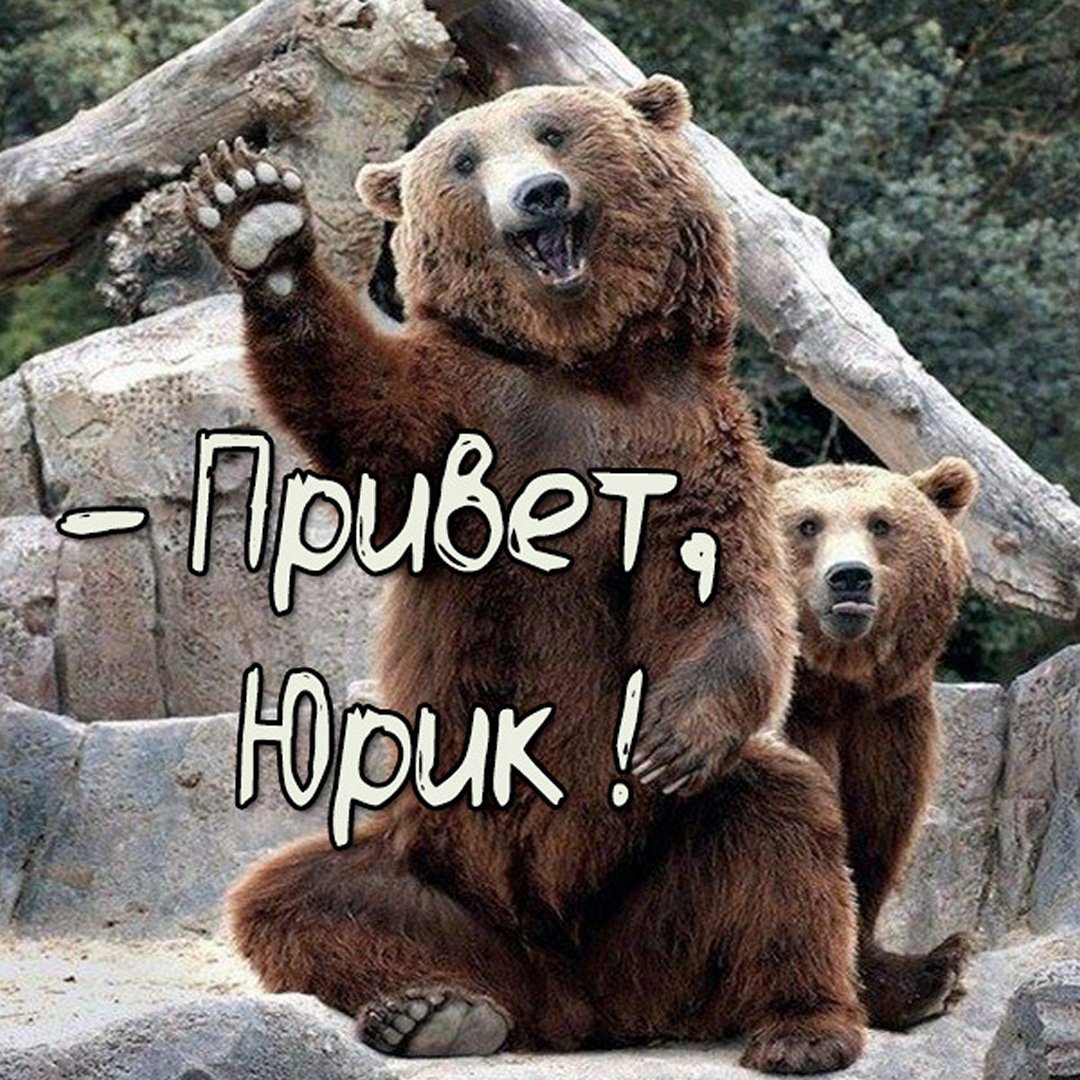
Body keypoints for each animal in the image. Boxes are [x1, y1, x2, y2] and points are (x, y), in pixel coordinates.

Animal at [185, 76, 867, 1073]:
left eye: (554, 131)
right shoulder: (471, 415)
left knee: (783, 821)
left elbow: (724, 592)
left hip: (654, 891)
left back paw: (804, 1027)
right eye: (466, 159)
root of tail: (579, 1001)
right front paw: (257, 219)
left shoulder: (690, 440)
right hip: (438, 866)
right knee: (296, 895)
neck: (579, 366)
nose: (538, 196)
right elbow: (362, 399)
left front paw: (669, 737)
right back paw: (435, 1013)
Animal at [770, 457, 979, 1030]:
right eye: (808, 524)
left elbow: (877, 827)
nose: (849, 577)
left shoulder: (887, 719)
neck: (839, 683)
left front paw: (928, 973)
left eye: (881, 523)